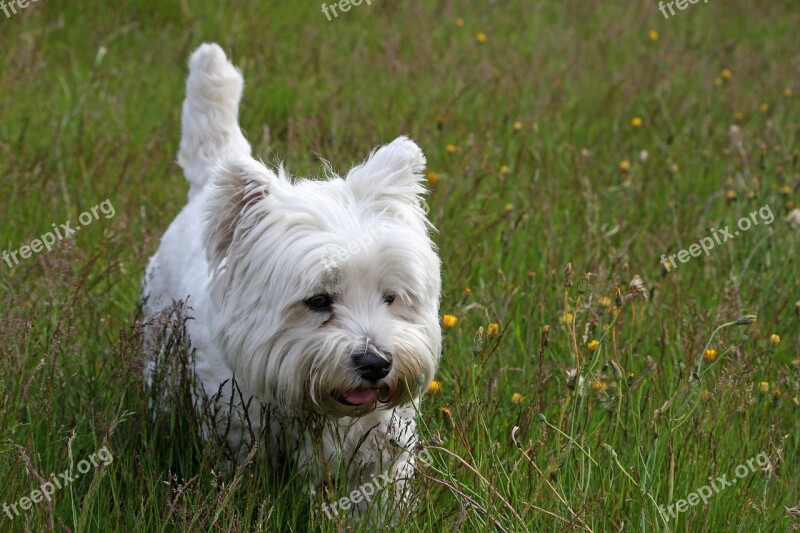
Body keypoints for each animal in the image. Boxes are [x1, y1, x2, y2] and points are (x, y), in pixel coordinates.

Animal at [144, 42, 444, 520]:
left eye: (392, 297)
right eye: (318, 300)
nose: (376, 363)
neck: (319, 410)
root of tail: (209, 184)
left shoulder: (383, 452)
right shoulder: (238, 439)